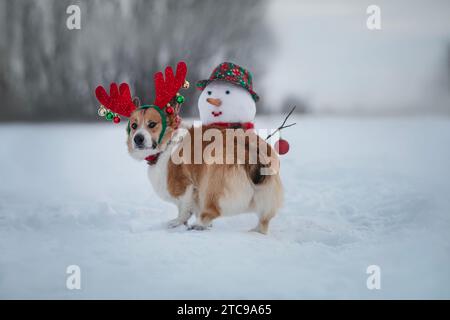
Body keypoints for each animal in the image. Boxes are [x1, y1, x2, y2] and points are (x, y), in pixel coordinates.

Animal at [126, 106, 282, 234]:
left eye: (152, 124)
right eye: (134, 125)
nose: (138, 139)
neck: (168, 144)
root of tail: (248, 149)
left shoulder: (185, 187)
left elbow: (183, 210)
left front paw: (177, 222)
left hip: (211, 180)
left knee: (212, 210)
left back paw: (199, 224)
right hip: (265, 198)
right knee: (264, 221)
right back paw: (255, 231)